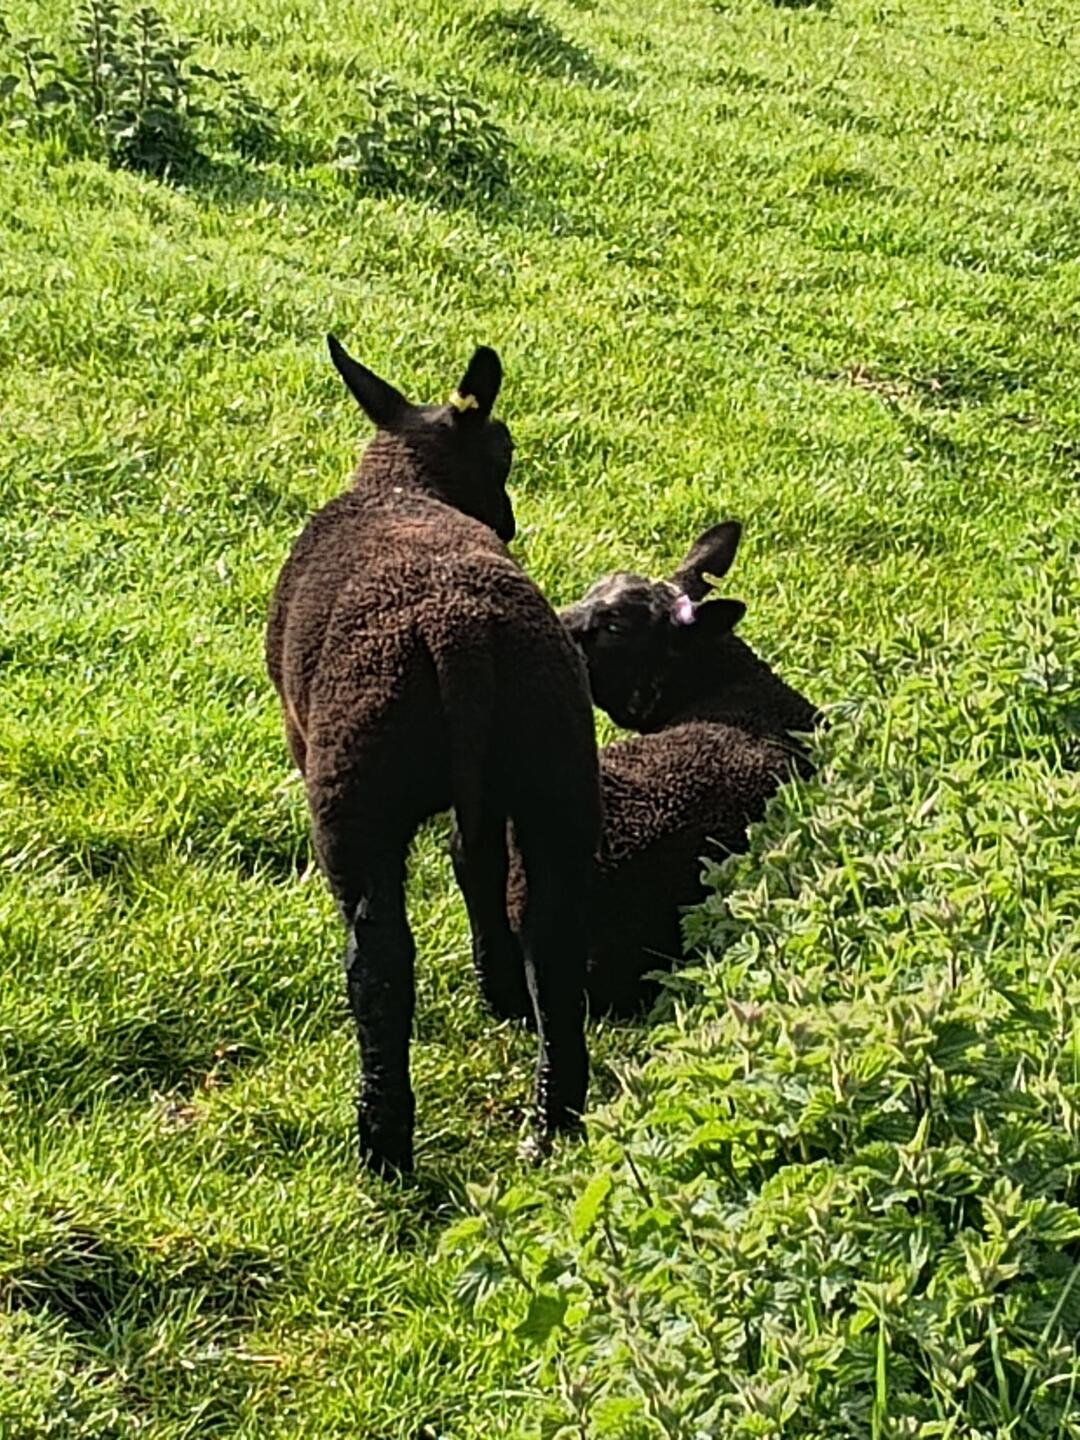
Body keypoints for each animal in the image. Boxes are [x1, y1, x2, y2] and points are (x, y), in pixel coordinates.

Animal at [266, 336, 600, 1175]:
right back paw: (554, 1115)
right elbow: (473, 863)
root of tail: (459, 631)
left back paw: (382, 1143)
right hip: (555, 766)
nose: (509, 520)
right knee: (552, 933)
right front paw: (496, 987)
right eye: (505, 451)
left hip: (354, 788)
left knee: (379, 961)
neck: (402, 486)